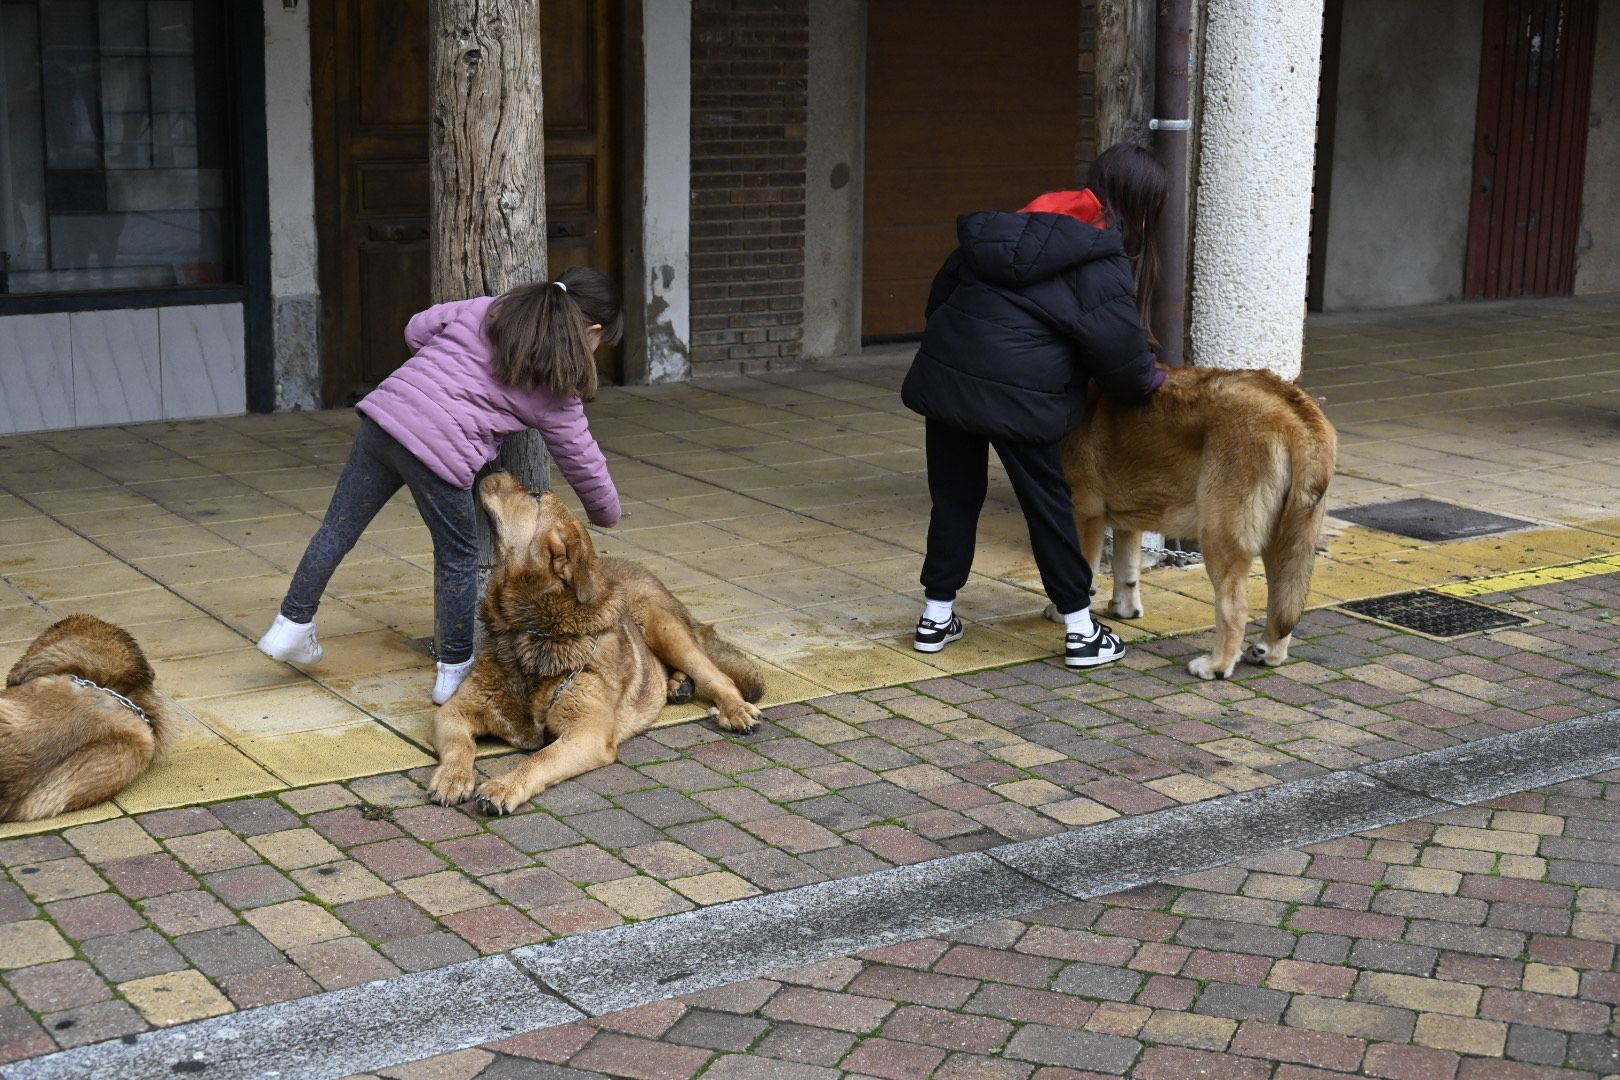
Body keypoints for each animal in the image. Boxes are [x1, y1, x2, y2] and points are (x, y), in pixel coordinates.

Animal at [424, 472, 764, 809]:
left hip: (662, 626)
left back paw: (734, 709)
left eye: (535, 496)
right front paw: (452, 778)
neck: (536, 629)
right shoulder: (453, 713)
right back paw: (678, 686)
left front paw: (504, 786)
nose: (495, 472)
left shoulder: (585, 734)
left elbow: (538, 759)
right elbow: (460, 746)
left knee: (717, 677)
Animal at [1056, 367, 1334, 680]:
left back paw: (1217, 666)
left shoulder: (1083, 512)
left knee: (1234, 609)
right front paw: (1124, 609)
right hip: (1286, 540)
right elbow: (1126, 569)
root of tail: (1296, 411)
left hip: (1218, 537)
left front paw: (1058, 613)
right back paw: (1269, 651)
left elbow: (1081, 573)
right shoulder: (1128, 519)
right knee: (1283, 601)